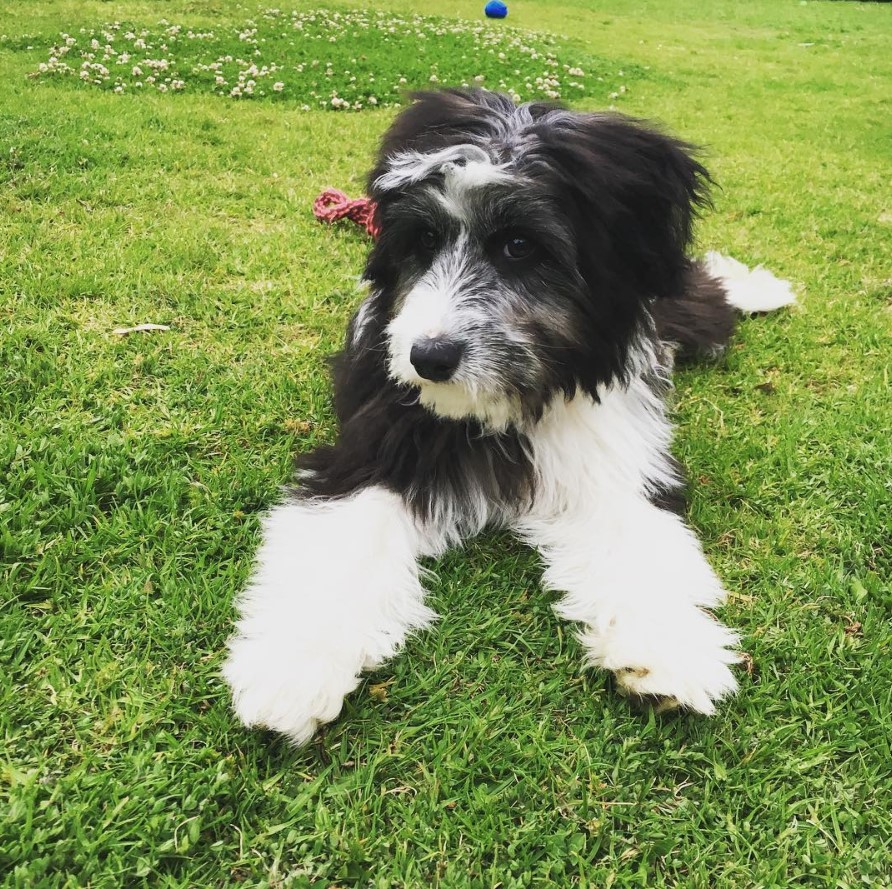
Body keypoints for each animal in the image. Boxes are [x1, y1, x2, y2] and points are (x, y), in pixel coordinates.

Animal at [223, 90, 796, 744]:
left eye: (519, 246)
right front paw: (292, 670)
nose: (428, 357)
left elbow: (641, 544)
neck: (512, 399)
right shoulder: (372, 449)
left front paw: (669, 651)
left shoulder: (613, 459)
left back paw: (755, 287)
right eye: (423, 240)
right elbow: (341, 544)